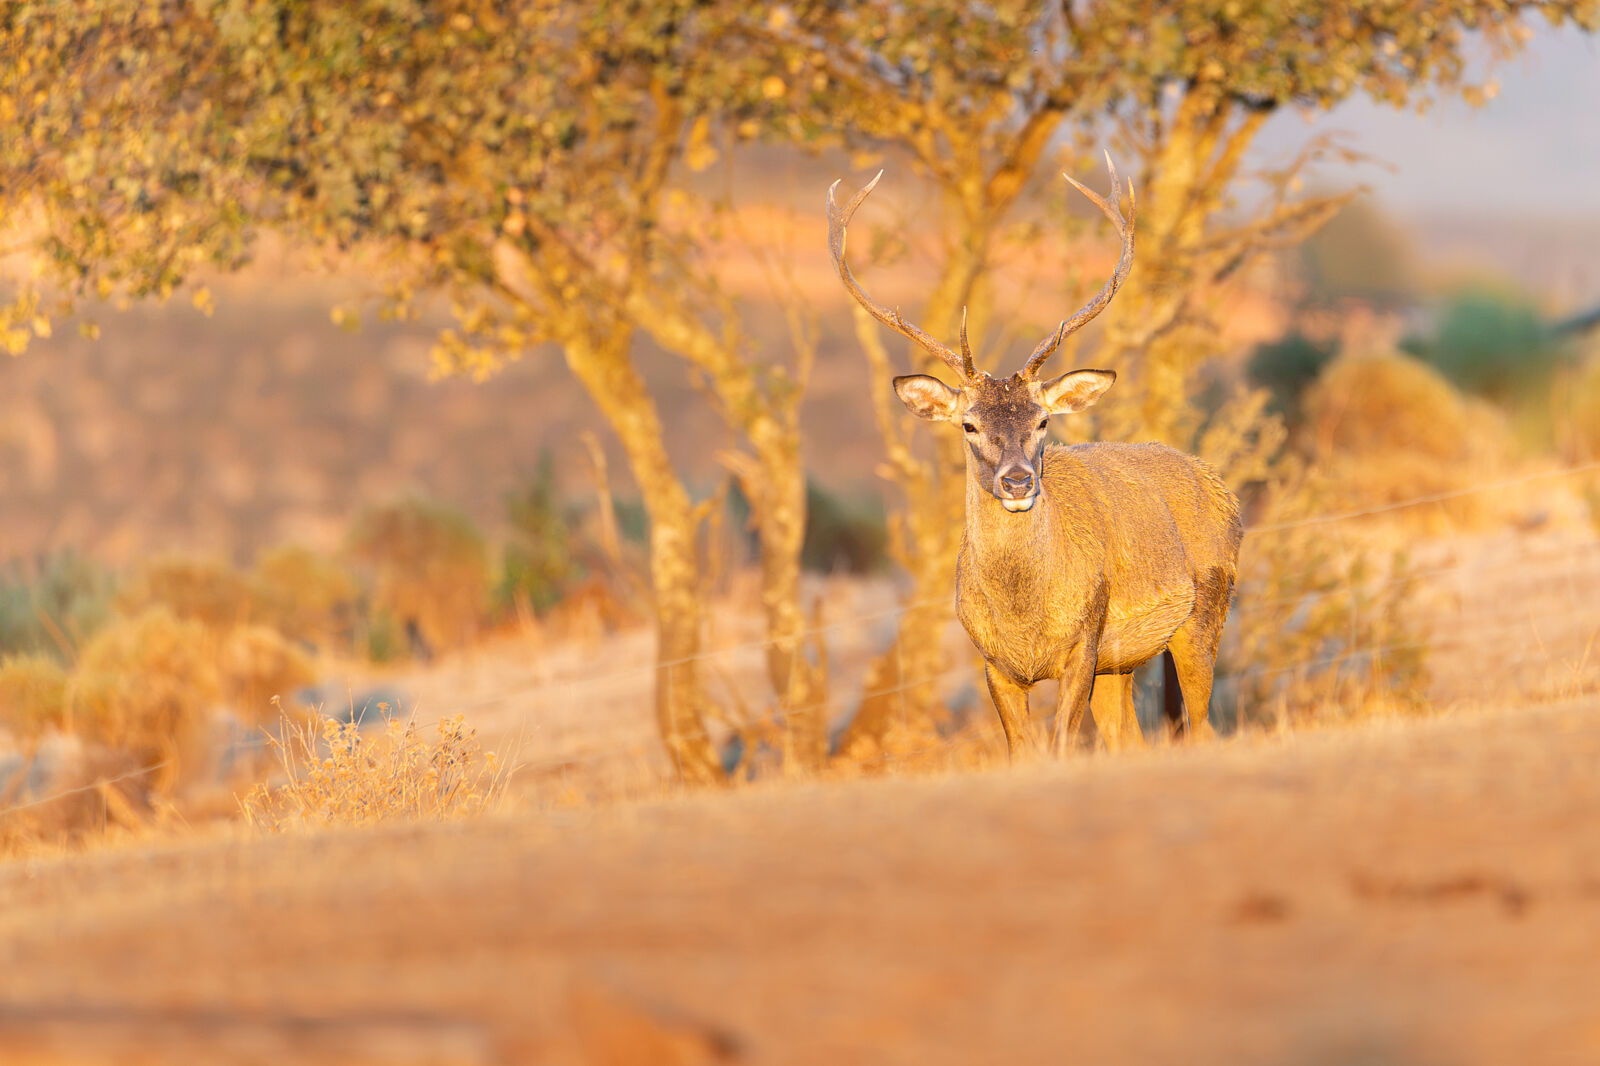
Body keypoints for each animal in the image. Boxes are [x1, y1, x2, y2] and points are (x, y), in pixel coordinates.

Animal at [827, 157, 1242, 755]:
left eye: (1043, 420)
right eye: (969, 424)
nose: (1019, 482)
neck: (1025, 621)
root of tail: (1219, 484)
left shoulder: (1084, 642)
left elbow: (1062, 743)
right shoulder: (992, 663)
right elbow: (1021, 751)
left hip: (1206, 612)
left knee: (1202, 726)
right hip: (1124, 661)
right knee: (1131, 738)